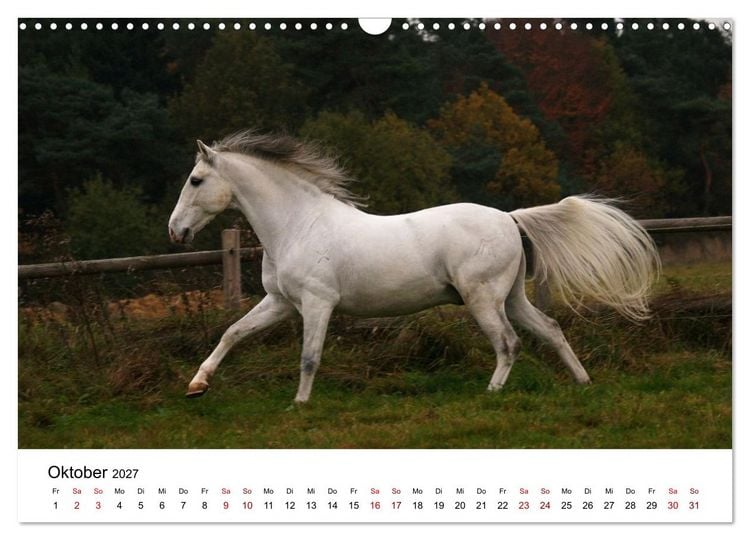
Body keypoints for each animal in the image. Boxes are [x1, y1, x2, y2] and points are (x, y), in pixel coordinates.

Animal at [168, 131, 660, 403]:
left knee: (509, 343)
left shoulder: (317, 303)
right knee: (550, 329)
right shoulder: (280, 303)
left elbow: (309, 357)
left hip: (482, 298)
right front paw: (196, 385)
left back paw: (491, 394)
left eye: (195, 180)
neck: (298, 224)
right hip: (512, 297)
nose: (176, 232)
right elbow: (232, 333)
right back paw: (583, 382)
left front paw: (300, 404)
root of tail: (509, 217)